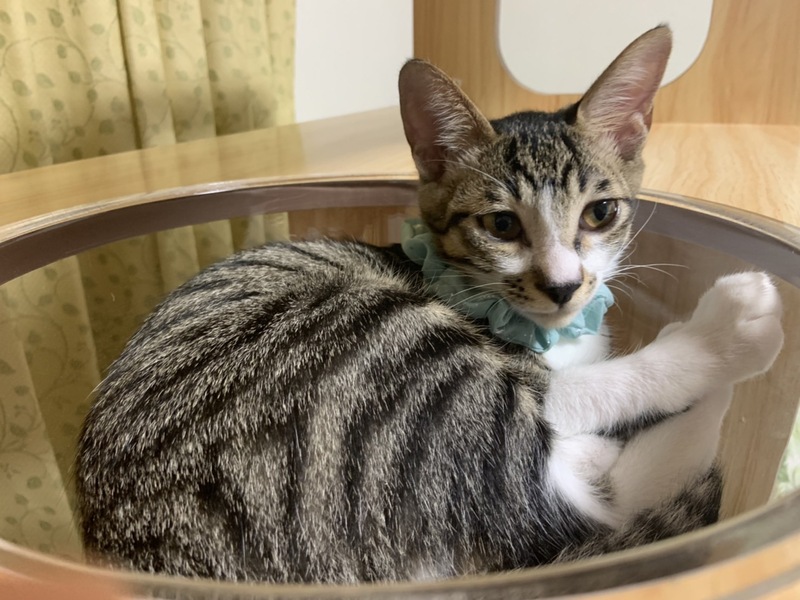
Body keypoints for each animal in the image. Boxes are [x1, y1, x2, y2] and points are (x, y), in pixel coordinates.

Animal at [76, 25, 783, 584]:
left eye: (600, 212)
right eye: (501, 225)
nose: (563, 286)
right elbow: (569, 399)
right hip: (378, 347)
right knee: (561, 465)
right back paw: (722, 347)